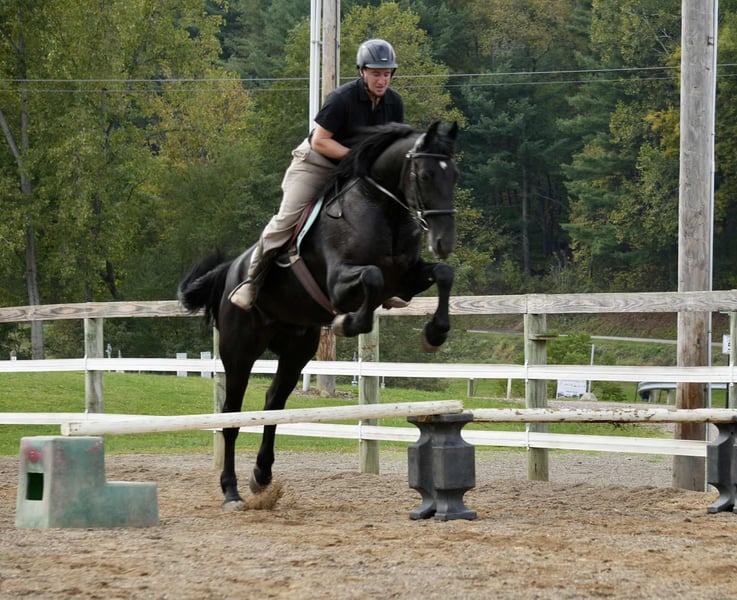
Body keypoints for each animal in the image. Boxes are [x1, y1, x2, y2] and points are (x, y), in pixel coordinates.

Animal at [178, 121, 459, 509]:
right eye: (427, 174)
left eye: (455, 175)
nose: (444, 242)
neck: (382, 208)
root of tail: (229, 273)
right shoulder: (340, 283)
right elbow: (371, 279)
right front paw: (347, 323)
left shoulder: (405, 281)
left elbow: (443, 274)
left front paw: (435, 333)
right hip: (239, 351)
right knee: (232, 414)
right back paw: (231, 491)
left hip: (297, 349)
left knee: (274, 403)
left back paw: (261, 477)